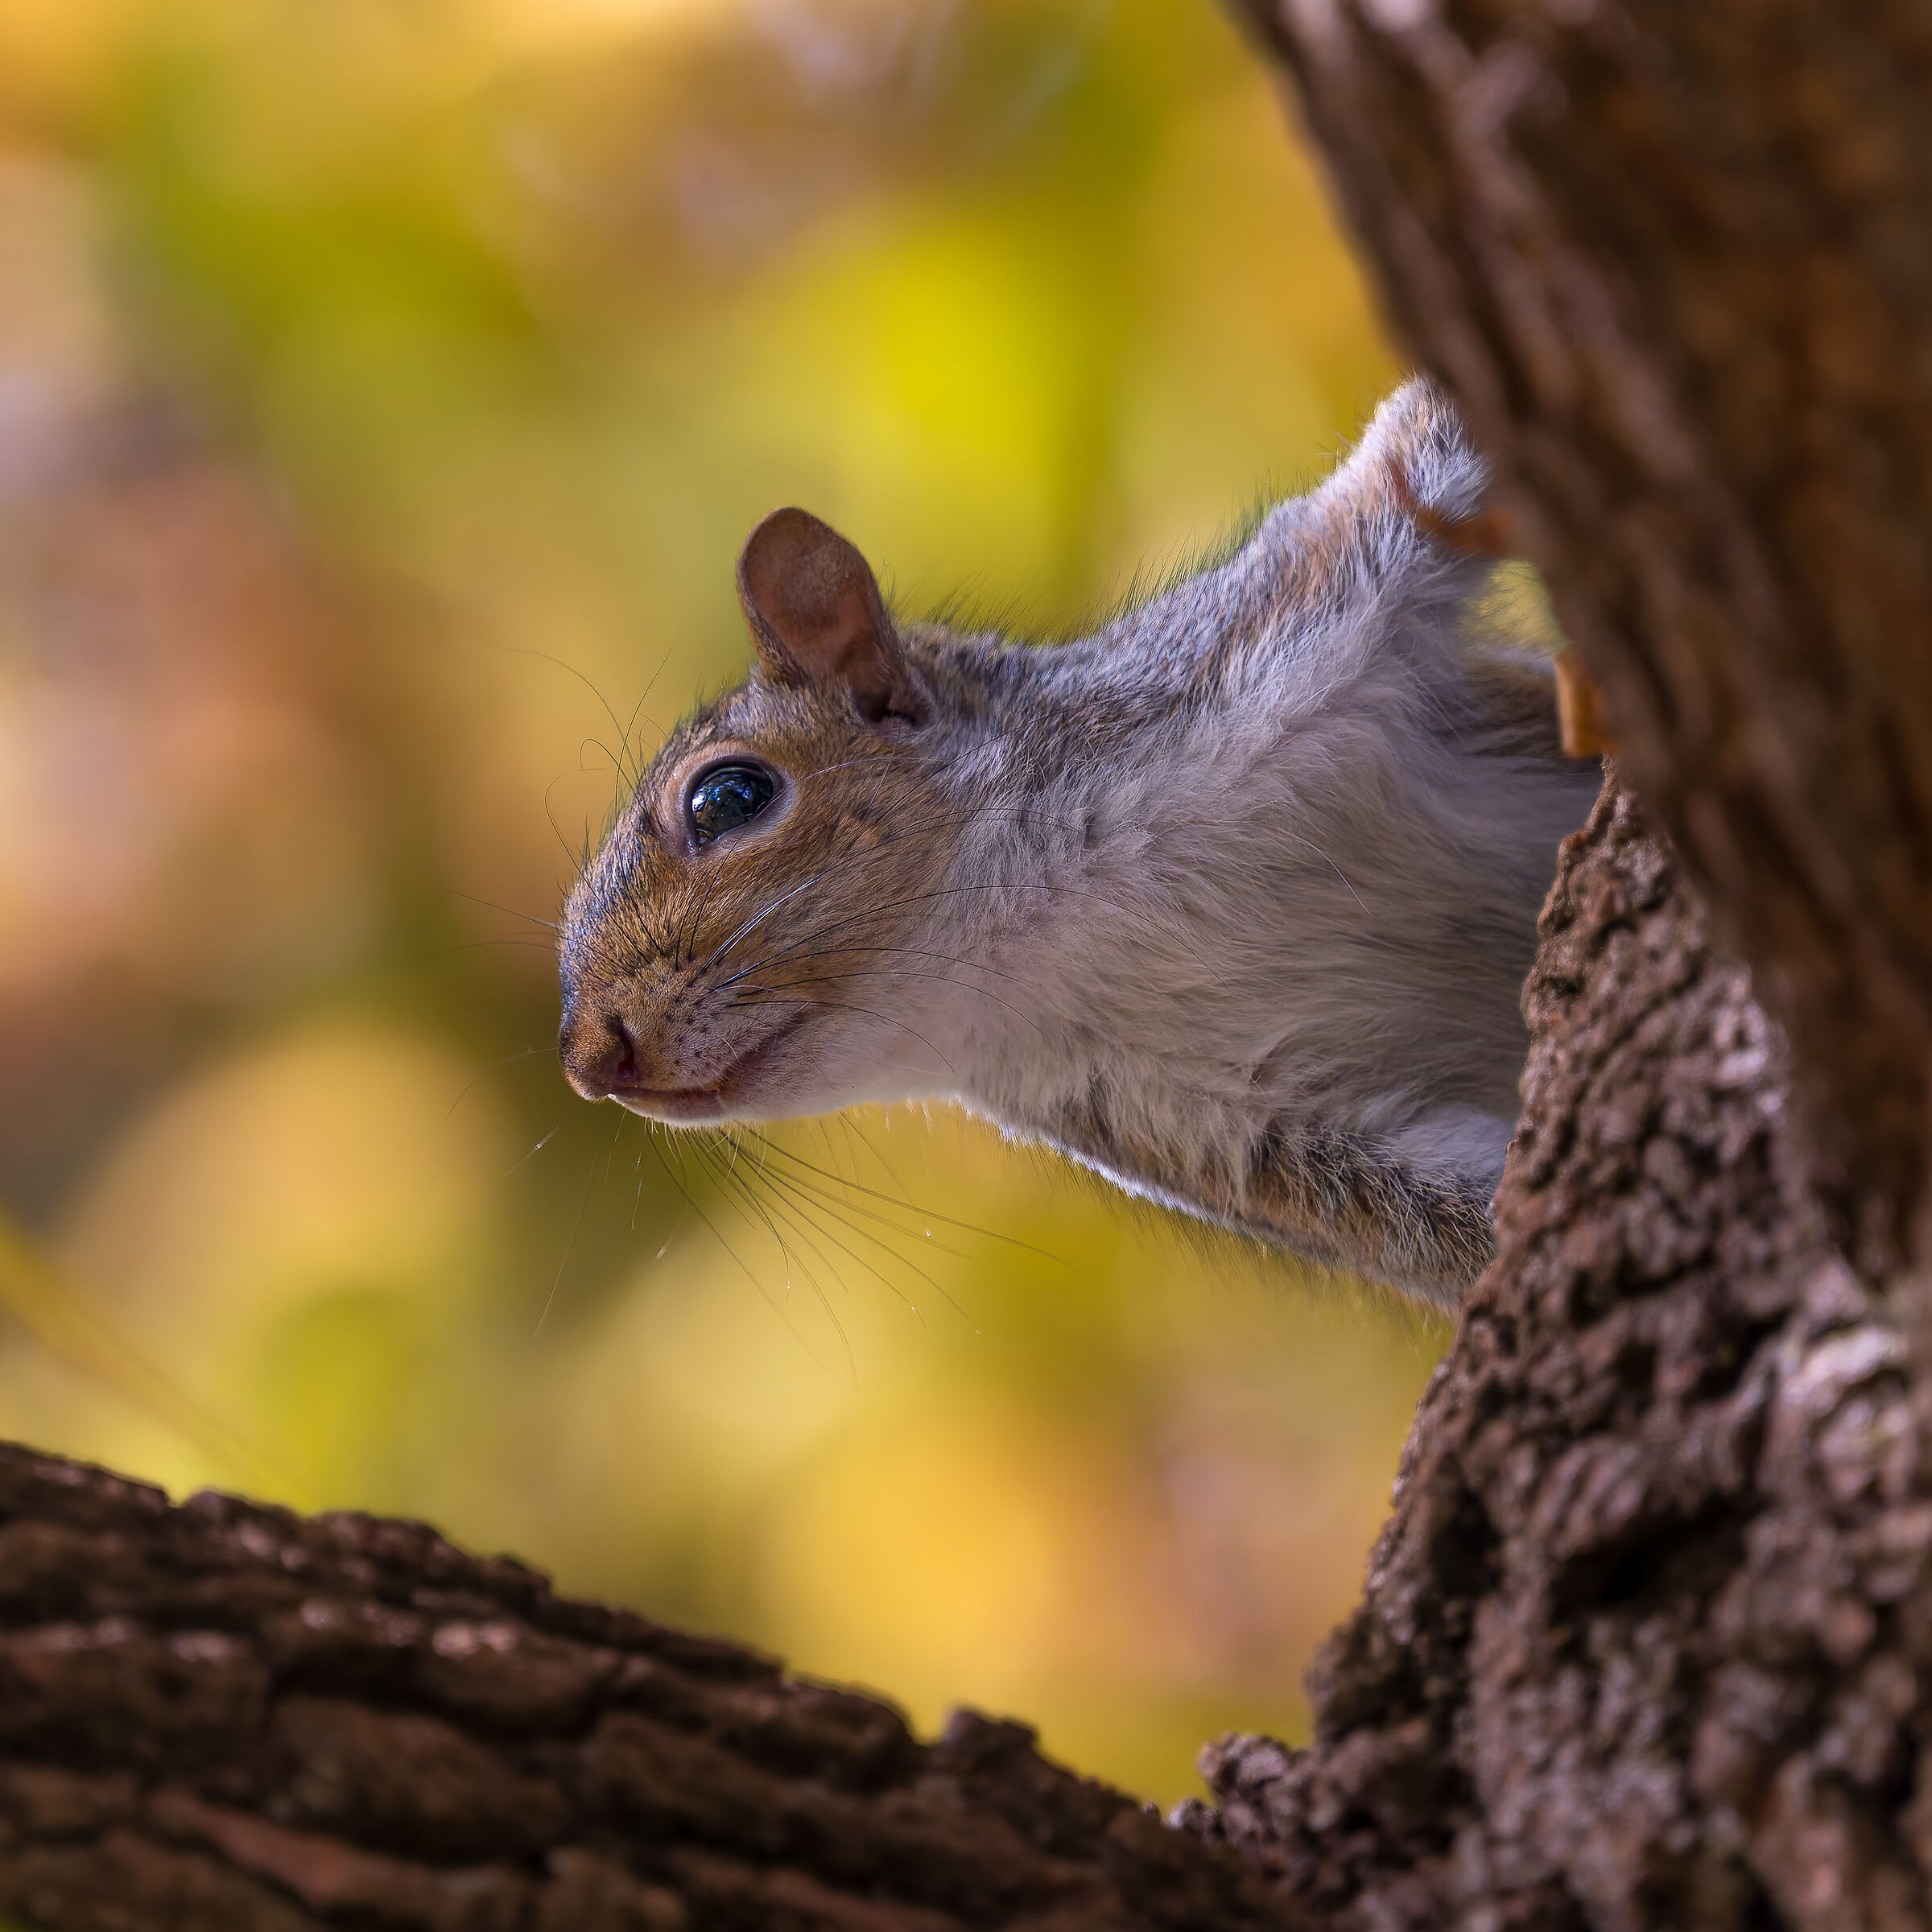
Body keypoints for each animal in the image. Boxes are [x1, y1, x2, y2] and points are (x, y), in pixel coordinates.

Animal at [556, 382, 1602, 1305]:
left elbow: (1415, 461)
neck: (1050, 921)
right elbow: (1440, 1214)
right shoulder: (1227, 1131)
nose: (591, 1061)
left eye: (729, 797)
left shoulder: (1286, 614)